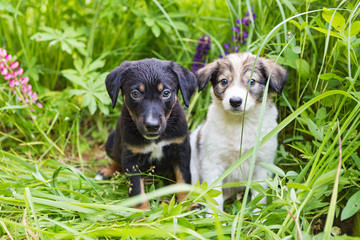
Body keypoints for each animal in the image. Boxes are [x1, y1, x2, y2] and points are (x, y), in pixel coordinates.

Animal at [95, 58, 197, 210]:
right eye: (135, 94)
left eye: (166, 93)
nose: (152, 126)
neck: (156, 140)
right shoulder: (131, 158)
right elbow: (137, 190)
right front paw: (141, 213)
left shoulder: (181, 149)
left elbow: (183, 180)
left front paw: (187, 205)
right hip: (111, 141)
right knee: (117, 159)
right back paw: (107, 172)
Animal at [191, 52, 286, 210]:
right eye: (224, 81)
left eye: (252, 81)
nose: (235, 101)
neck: (240, 124)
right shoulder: (212, 162)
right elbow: (215, 197)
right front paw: (214, 215)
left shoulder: (262, 163)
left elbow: (259, 196)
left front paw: (258, 214)